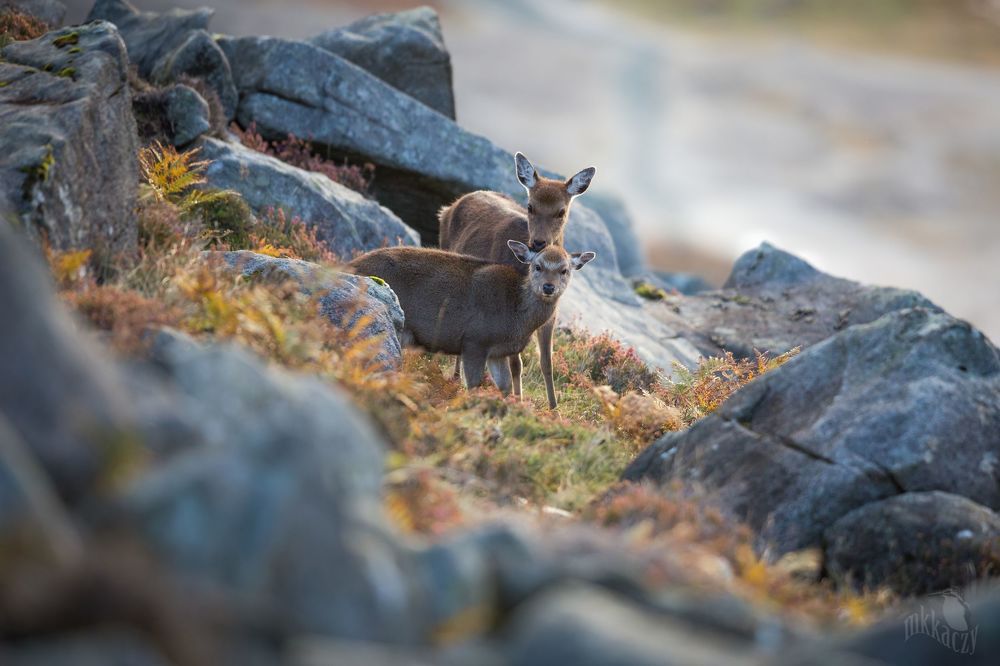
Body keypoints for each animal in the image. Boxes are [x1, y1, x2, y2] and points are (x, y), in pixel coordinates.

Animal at [348, 241, 596, 393]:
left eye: (564, 270)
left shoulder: (498, 352)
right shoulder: (474, 341)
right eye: (537, 266)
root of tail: (350, 265)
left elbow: (505, 386)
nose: (548, 287)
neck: (516, 319)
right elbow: (474, 384)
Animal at [438, 152, 596, 408]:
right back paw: (455, 377)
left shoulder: (552, 315)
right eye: (530, 206)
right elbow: (516, 363)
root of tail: (450, 206)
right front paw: (517, 399)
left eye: (561, 211)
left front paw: (555, 410)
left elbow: (547, 362)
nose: (539, 242)